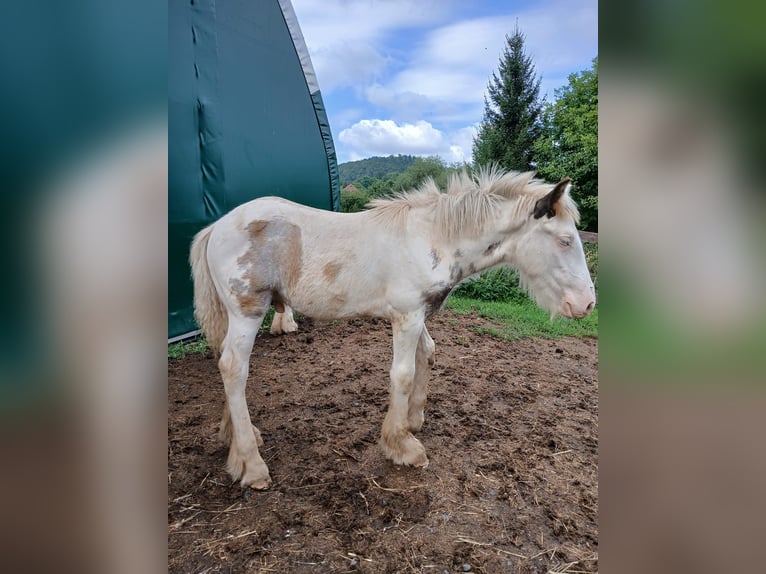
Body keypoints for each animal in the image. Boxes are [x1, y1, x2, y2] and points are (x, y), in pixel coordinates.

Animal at [189, 166, 596, 490]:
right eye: (565, 240)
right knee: (234, 368)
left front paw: (413, 421)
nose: (587, 303)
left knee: (223, 361)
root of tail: (216, 227)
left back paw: (237, 437)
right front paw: (402, 445)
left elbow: (427, 355)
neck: (432, 239)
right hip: (247, 311)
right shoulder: (406, 316)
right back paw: (252, 464)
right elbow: (402, 373)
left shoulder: (418, 314)